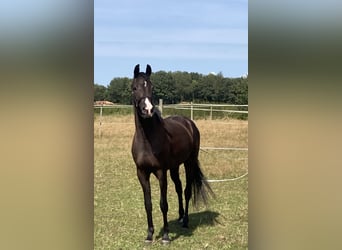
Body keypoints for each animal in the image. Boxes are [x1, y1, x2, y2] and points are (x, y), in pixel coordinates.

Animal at [131, 63, 214, 243]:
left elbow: (163, 204)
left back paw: (186, 221)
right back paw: (181, 216)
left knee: (187, 190)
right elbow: (148, 204)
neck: (147, 139)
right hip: (174, 167)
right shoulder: (142, 173)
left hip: (189, 162)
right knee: (179, 187)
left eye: (152, 87)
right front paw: (149, 235)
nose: (148, 110)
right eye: (134, 87)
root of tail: (188, 123)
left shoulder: (161, 172)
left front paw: (166, 236)